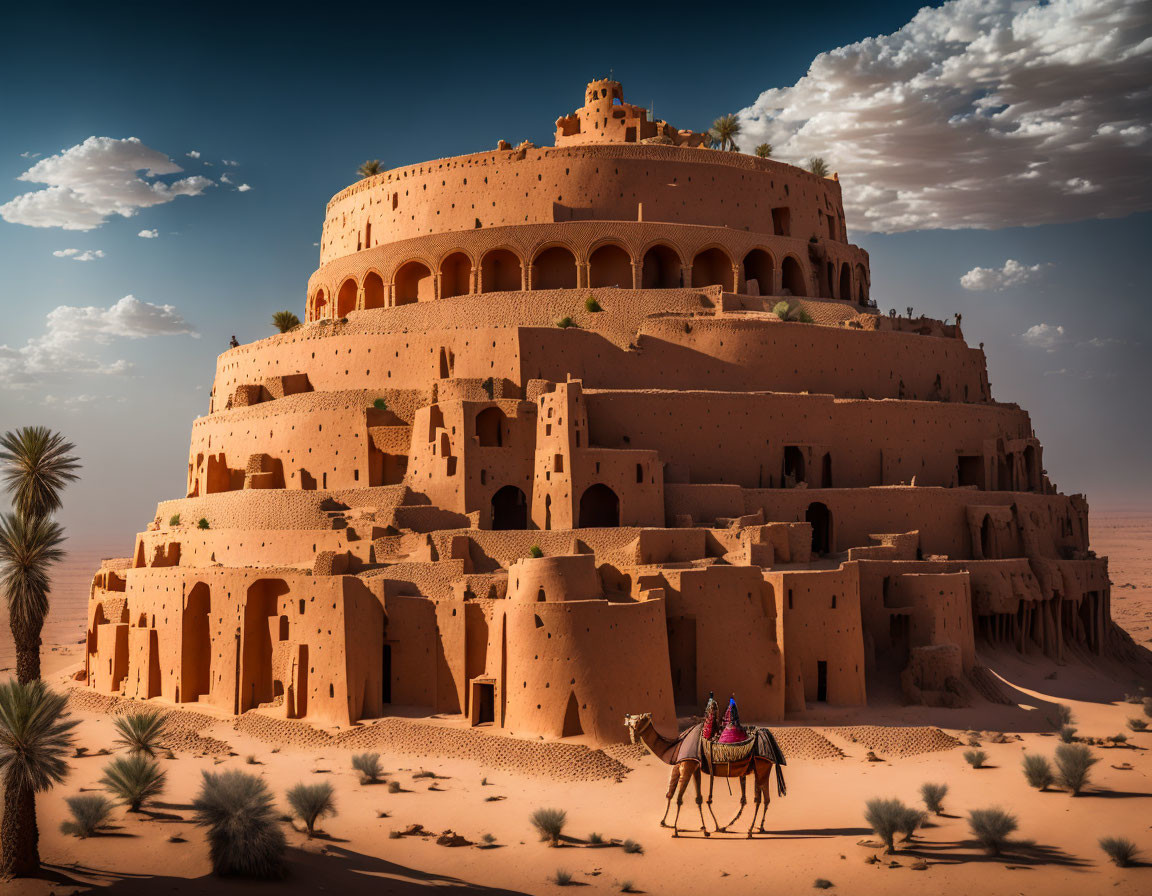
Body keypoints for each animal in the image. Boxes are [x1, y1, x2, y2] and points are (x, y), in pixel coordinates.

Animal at [626, 709, 787, 833]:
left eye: (639, 720)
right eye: (630, 722)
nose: (633, 735)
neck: (675, 746)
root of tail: (768, 736)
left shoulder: (687, 763)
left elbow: (679, 797)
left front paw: (676, 829)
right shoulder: (693, 765)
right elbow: (691, 797)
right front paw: (701, 828)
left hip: (762, 765)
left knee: (761, 799)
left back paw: (750, 831)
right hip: (760, 767)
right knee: (762, 798)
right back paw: (755, 828)